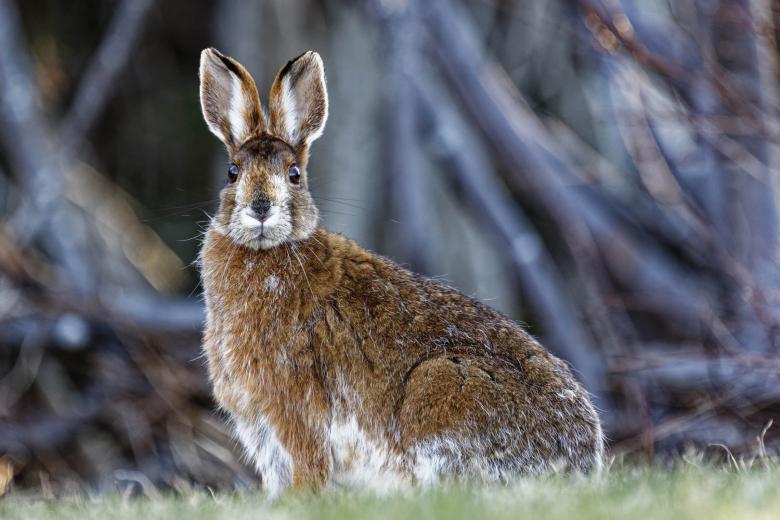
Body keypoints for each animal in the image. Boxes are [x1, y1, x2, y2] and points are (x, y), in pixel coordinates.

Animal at [198, 47, 603, 497]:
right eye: (232, 171)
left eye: (294, 175)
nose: (260, 207)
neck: (271, 249)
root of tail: (578, 460)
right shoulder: (260, 428)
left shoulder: (295, 407)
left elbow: (310, 465)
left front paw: (304, 498)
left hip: (442, 386)